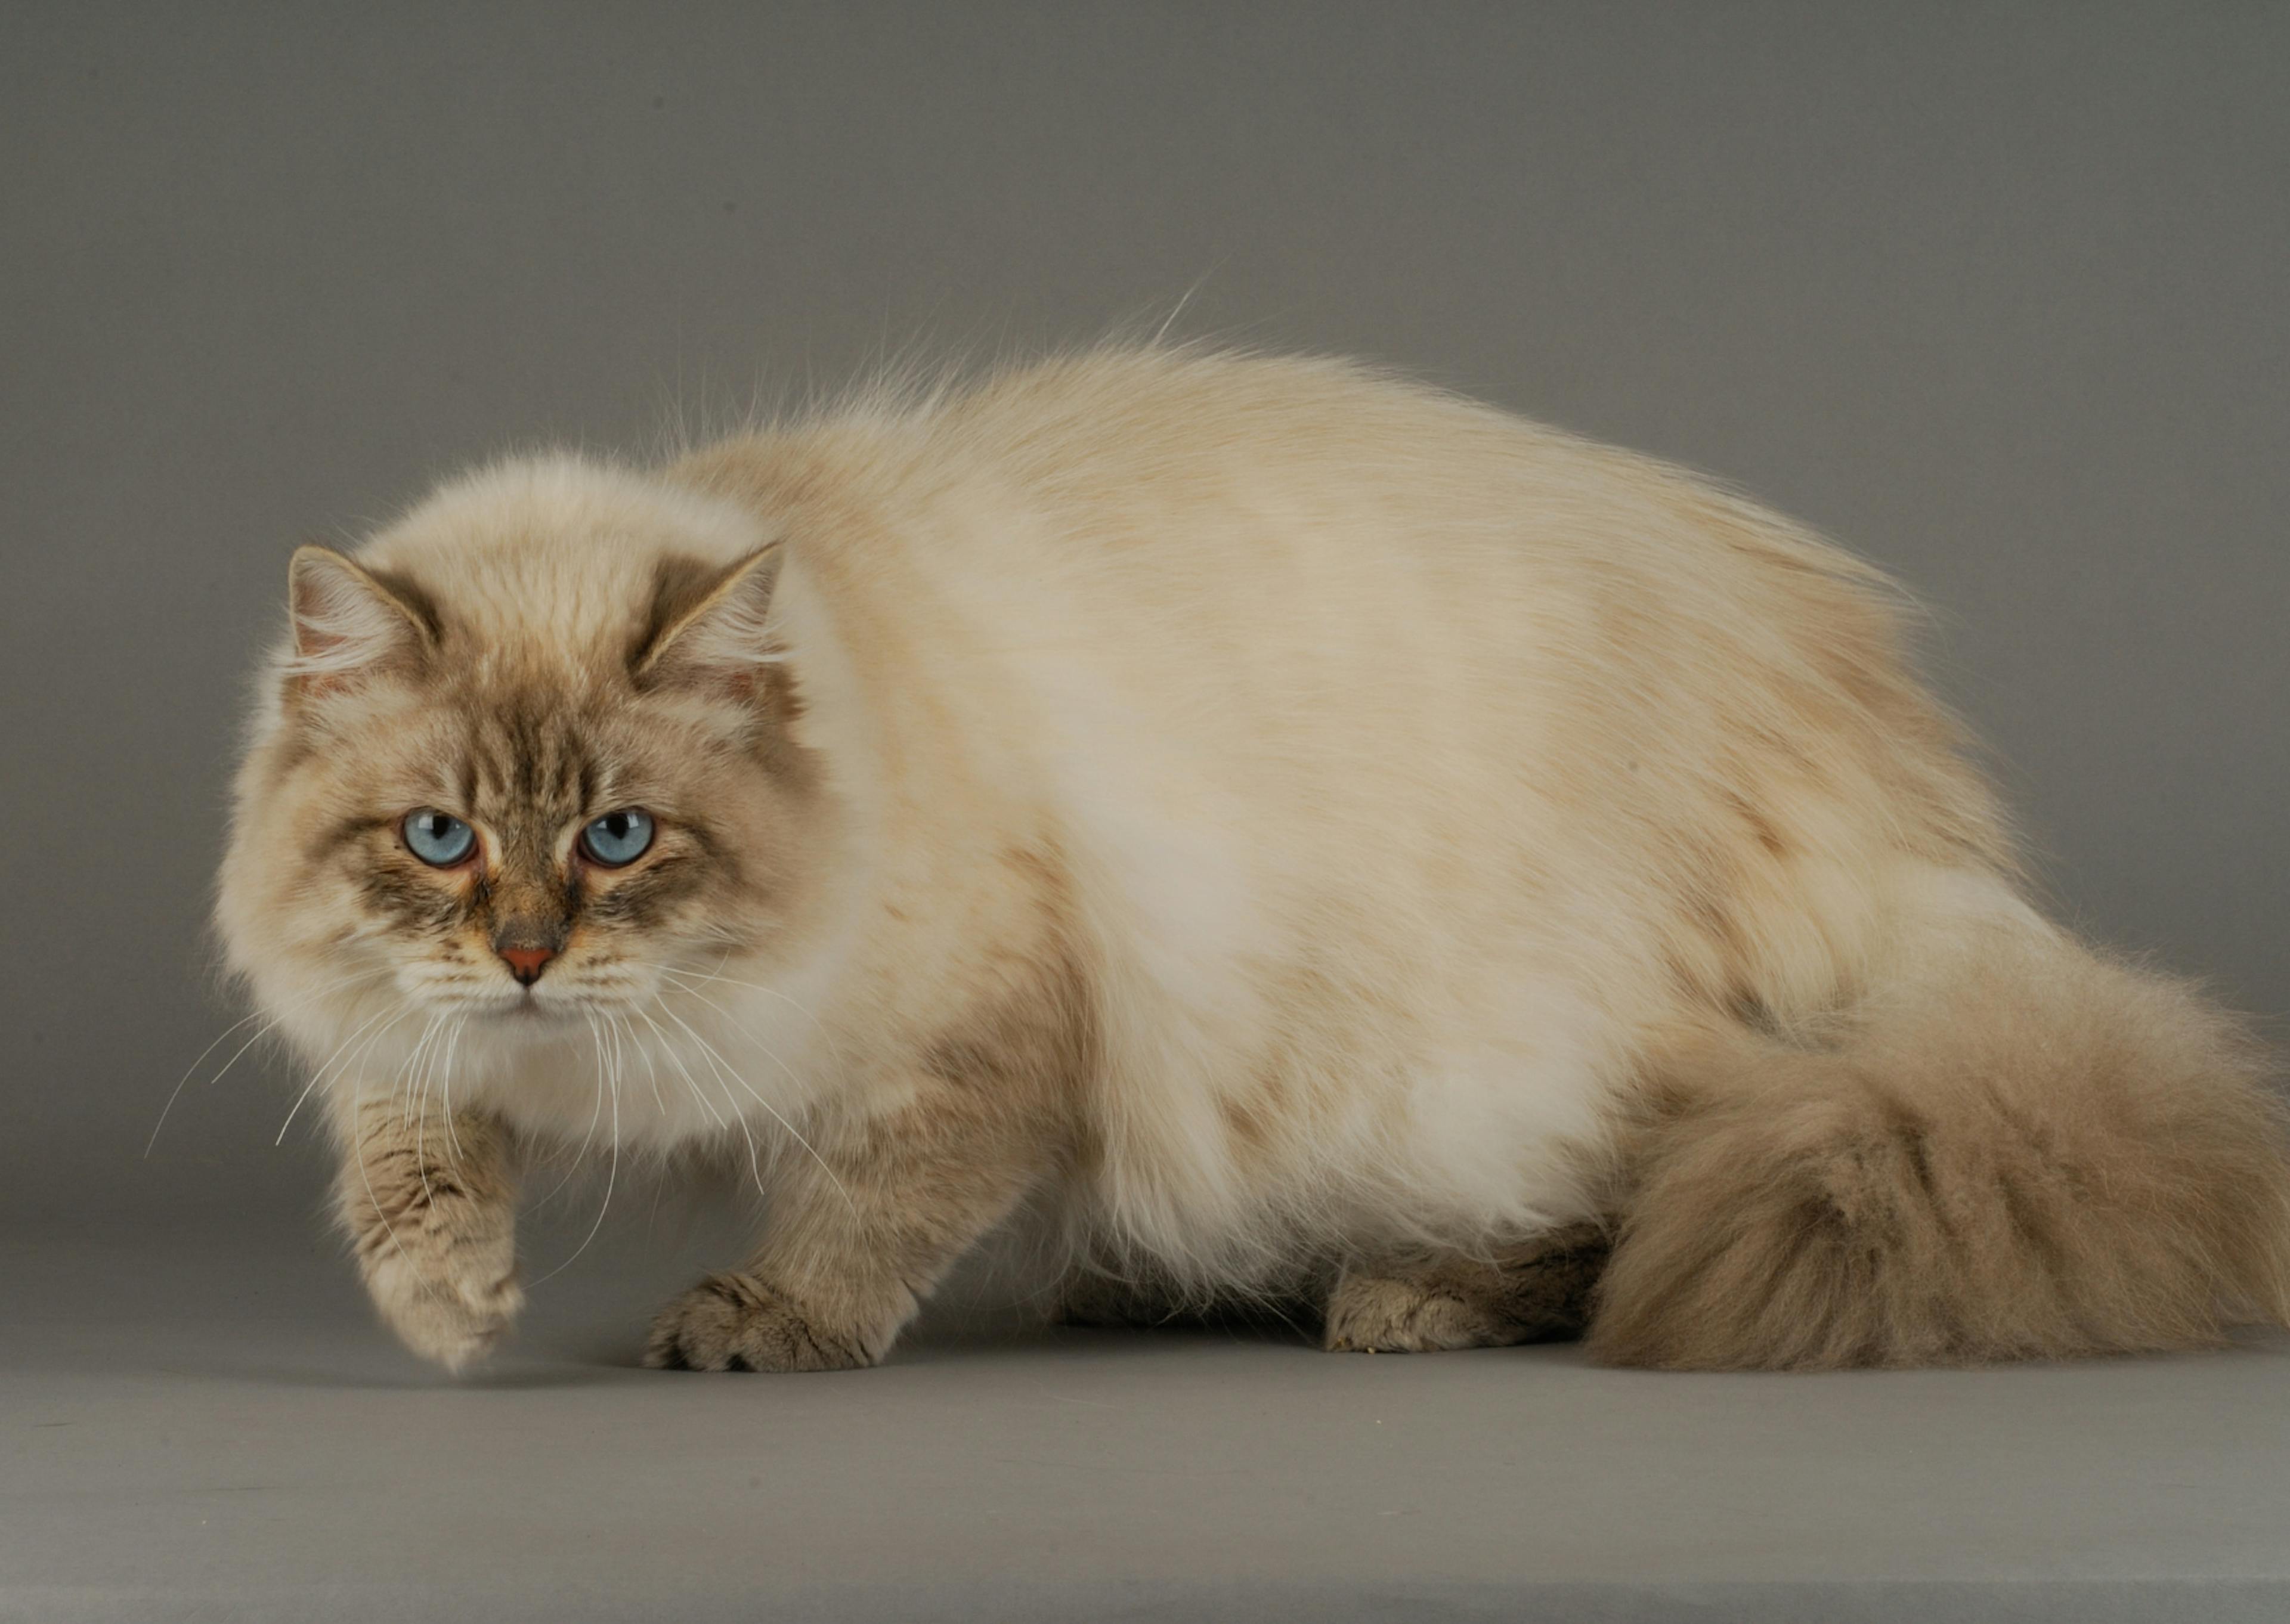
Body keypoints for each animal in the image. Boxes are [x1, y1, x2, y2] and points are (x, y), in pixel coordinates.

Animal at [215, 341, 2290, 1365]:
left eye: (623, 837)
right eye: (442, 839)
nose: (528, 956)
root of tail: (1858, 730)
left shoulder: (988, 1038)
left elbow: (867, 1208)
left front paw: (763, 1325)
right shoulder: (403, 1032)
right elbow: (408, 1155)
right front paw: (449, 1308)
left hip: (1478, 1054)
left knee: (1620, 1200)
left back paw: (1406, 1303)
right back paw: (1169, 1282)